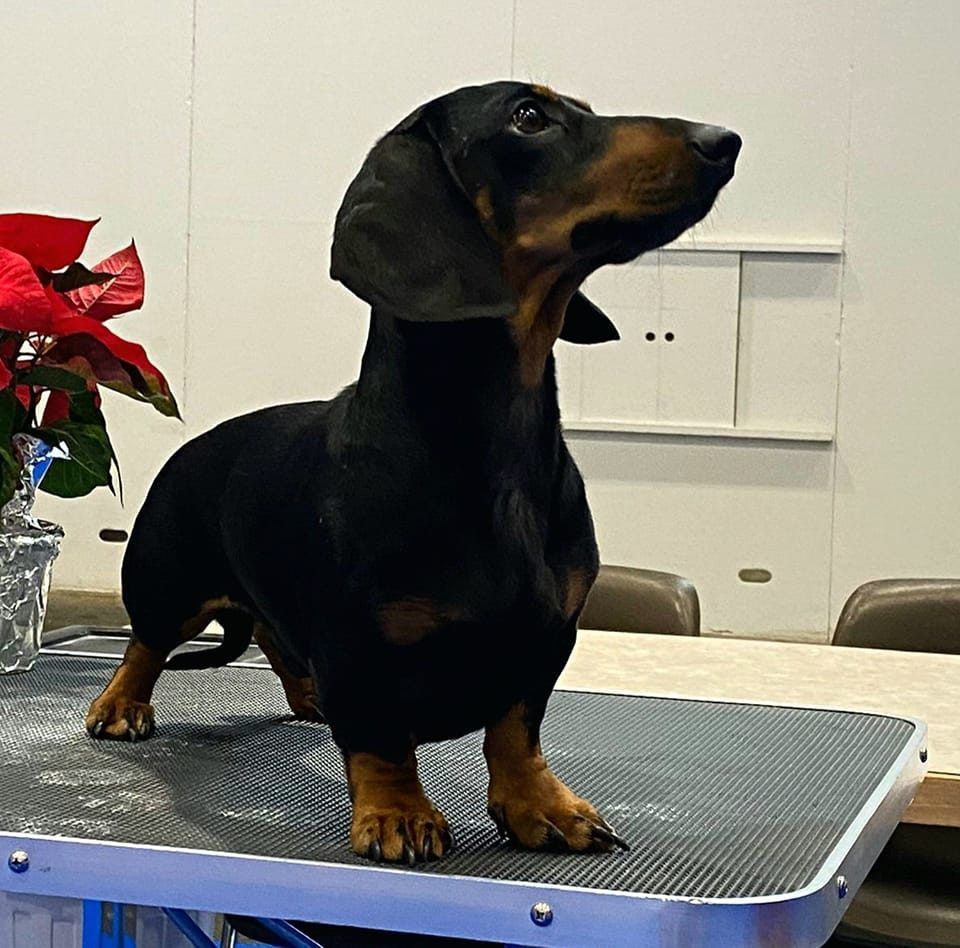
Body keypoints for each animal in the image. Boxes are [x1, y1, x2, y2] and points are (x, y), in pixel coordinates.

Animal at [85, 81, 740, 864]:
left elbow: (516, 729)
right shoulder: (359, 646)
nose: (724, 140)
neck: (490, 448)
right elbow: (381, 741)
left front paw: (541, 806)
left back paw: (306, 696)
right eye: (529, 116)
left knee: (274, 638)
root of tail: (198, 443)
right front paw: (398, 814)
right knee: (145, 642)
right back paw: (121, 703)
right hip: (167, 579)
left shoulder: (549, 636)